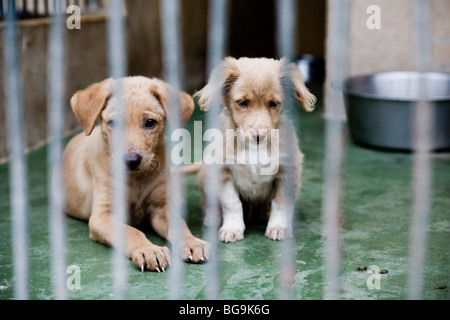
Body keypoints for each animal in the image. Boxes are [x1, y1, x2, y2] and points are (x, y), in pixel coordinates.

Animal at [63, 76, 211, 272]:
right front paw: (149, 250)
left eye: (150, 122)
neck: (137, 179)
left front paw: (192, 242)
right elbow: (131, 231)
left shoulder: (160, 209)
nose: (131, 160)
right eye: (114, 123)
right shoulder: (102, 216)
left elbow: (179, 223)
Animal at [194, 58, 316, 242]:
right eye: (243, 103)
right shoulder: (223, 172)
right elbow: (232, 204)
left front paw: (279, 227)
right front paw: (232, 228)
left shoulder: (288, 171)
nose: (259, 135)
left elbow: (280, 204)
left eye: (273, 104)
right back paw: (213, 217)